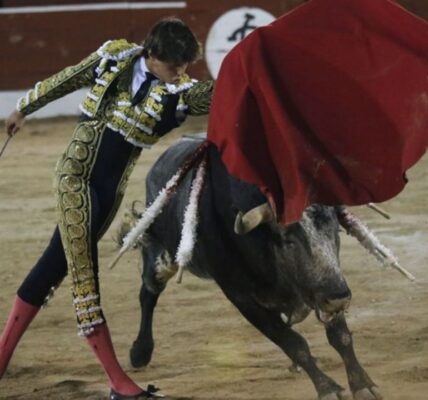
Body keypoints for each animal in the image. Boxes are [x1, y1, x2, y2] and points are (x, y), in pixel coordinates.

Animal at [122, 137, 382, 400]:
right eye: (288, 240)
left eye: (335, 231)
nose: (339, 297)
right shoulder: (242, 299)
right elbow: (293, 343)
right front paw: (328, 388)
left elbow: (341, 337)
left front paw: (363, 385)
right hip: (160, 259)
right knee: (148, 293)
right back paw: (140, 352)